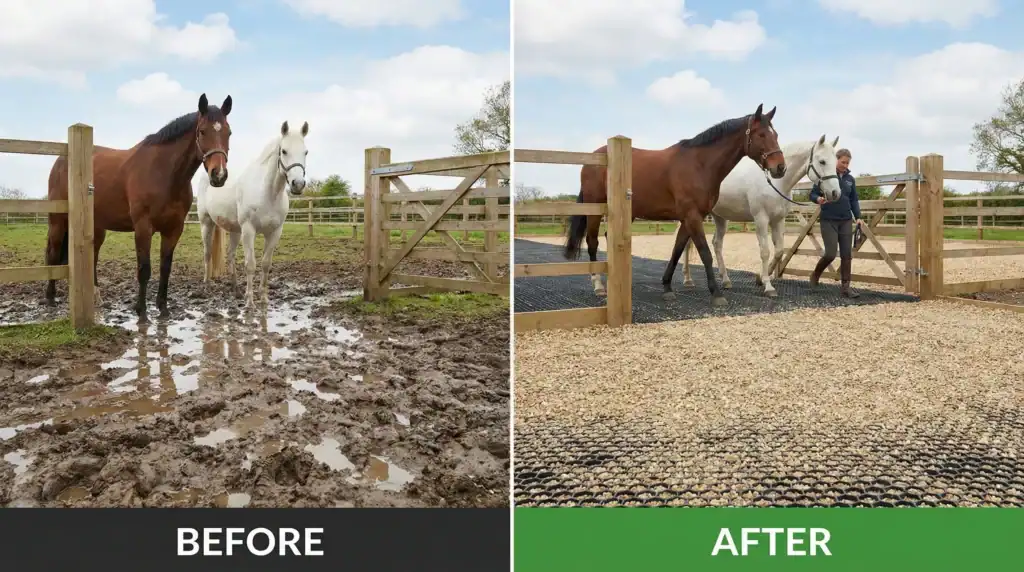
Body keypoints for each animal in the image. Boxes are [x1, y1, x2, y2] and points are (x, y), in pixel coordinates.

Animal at [46, 93, 233, 322]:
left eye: (228, 132)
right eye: (202, 131)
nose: (219, 175)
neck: (164, 173)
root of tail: (62, 160)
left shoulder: (173, 229)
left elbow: (165, 268)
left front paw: (163, 308)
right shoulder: (143, 228)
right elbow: (144, 269)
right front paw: (141, 311)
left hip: (97, 228)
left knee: (93, 255)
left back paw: (95, 296)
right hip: (58, 220)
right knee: (53, 253)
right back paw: (50, 297)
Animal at [197, 120, 309, 311]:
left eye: (306, 152)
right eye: (284, 151)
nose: (298, 184)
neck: (268, 193)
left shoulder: (274, 232)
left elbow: (265, 264)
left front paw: (263, 298)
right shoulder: (249, 230)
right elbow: (250, 265)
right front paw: (250, 302)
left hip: (235, 230)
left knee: (230, 255)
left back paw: (236, 290)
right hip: (207, 223)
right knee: (207, 253)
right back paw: (206, 285)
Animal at [564, 103, 786, 307]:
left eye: (775, 134)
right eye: (761, 134)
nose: (780, 167)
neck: (699, 164)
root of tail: (594, 158)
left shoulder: (689, 218)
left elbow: (677, 250)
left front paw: (667, 287)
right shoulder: (692, 216)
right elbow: (705, 253)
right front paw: (716, 293)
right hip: (594, 208)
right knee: (592, 241)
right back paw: (599, 286)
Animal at [680, 135, 844, 297]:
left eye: (835, 161)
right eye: (822, 161)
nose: (835, 193)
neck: (776, 183)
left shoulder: (778, 220)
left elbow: (778, 251)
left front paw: (761, 278)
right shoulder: (761, 219)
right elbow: (765, 251)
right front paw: (768, 286)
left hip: (720, 218)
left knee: (716, 244)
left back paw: (726, 280)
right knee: (687, 244)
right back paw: (688, 279)